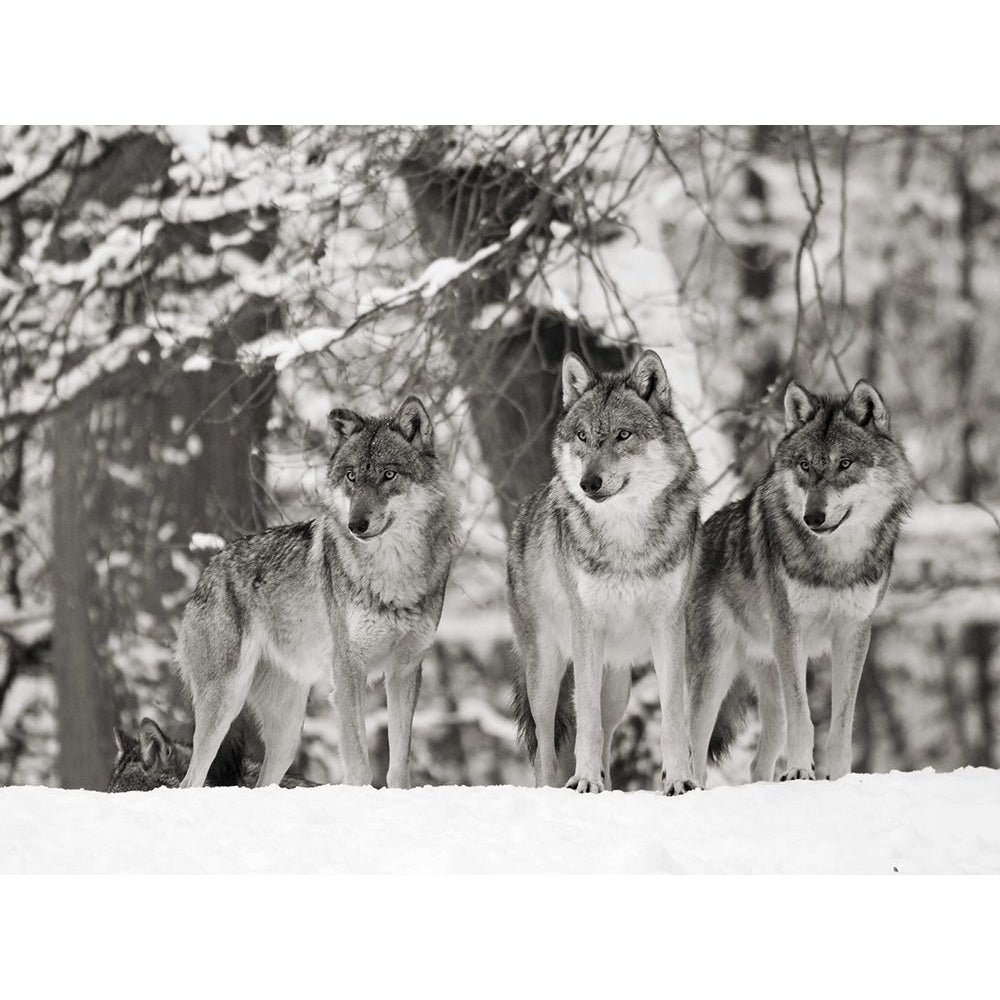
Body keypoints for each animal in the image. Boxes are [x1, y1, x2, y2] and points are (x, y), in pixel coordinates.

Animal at [508, 352, 704, 796]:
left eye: (623, 435)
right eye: (582, 436)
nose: (588, 483)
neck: (626, 539)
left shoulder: (670, 626)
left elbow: (673, 717)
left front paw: (678, 780)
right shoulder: (586, 627)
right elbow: (586, 725)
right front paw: (582, 780)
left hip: (617, 686)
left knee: (608, 731)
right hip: (545, 675)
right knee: (546, 745)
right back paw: (554, 787)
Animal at [688, 378, 916, 784]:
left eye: (845, 463)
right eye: (805, 465)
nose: (813, 517)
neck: (835, 562)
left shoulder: (854, 632)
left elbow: (842, 721)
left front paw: (838, 777)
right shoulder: (789, 630)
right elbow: (804, 716)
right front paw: (798, 770)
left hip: (768, 679)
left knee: (757, 761)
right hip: (715, 673)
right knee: (694, 748)